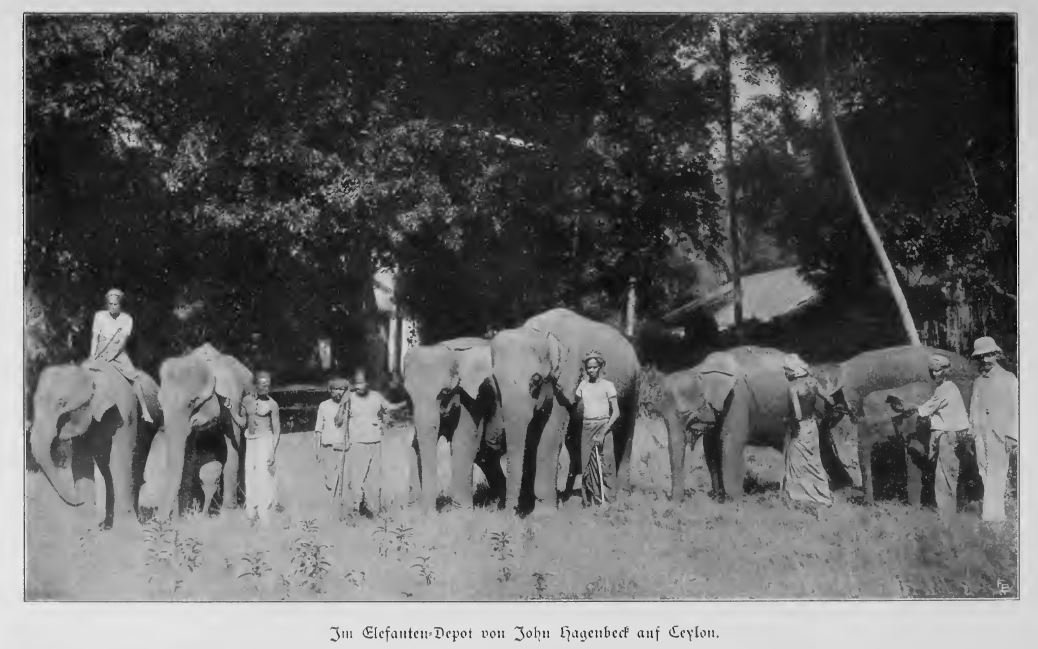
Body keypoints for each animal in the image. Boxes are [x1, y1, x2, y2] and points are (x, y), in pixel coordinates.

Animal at [30, 359, 161, 527]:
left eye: (62, 403)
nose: (79, 501)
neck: (90, 375)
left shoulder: (124, 414)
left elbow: (118, 462)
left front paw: (122, 528)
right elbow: (81, 461)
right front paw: (87, 523)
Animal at [151, 342, 254, 519]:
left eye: (192, 402)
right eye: (160, 403)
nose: (160, 520)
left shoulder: (231, 400)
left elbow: (233, 449)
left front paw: (228, 514)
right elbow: (188, 457)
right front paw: (185, 516)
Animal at [400, 336, 506, 508]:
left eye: (445, 392)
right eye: (410, 394)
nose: (430, 512)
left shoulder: (474, 400)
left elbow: (462, 442)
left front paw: (462, 509)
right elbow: (415, 445)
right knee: (488, 458)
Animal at [487, 309, 639, 517]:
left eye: (536, 381)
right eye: (495, 383)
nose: (509, 513)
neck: (539, 332)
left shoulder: (564, 384)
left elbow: (548, 437)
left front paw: (544, 514)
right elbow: (532, 438)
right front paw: (530, 505)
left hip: (634, 384)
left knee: (625, 433)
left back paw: (620, 496)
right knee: (575, 441)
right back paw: (572, 496)